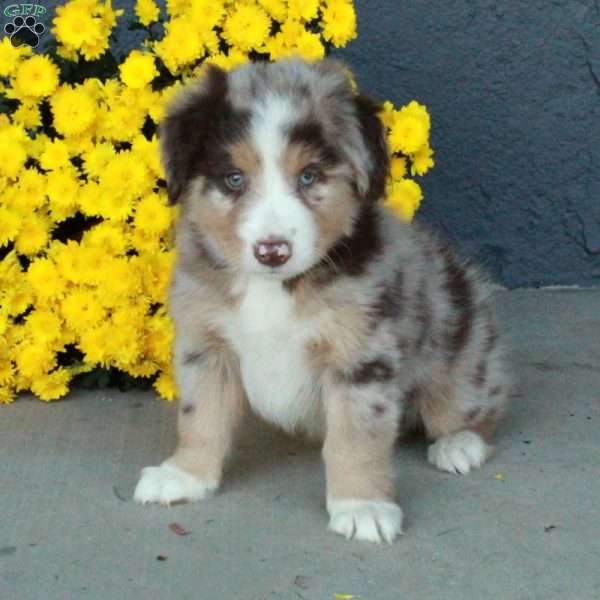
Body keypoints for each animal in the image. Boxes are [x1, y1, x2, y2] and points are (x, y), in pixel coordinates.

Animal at [134, 59, 508, 544]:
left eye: (309, 176)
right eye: (234, 179)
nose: (272, 251)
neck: (272, 287)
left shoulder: (362, 357)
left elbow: (356, 438)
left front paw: (362, 506)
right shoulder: (206, 344)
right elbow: (200, 415)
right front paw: (184, 475)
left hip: (462, 352)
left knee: (481, 404)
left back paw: (459, 444)